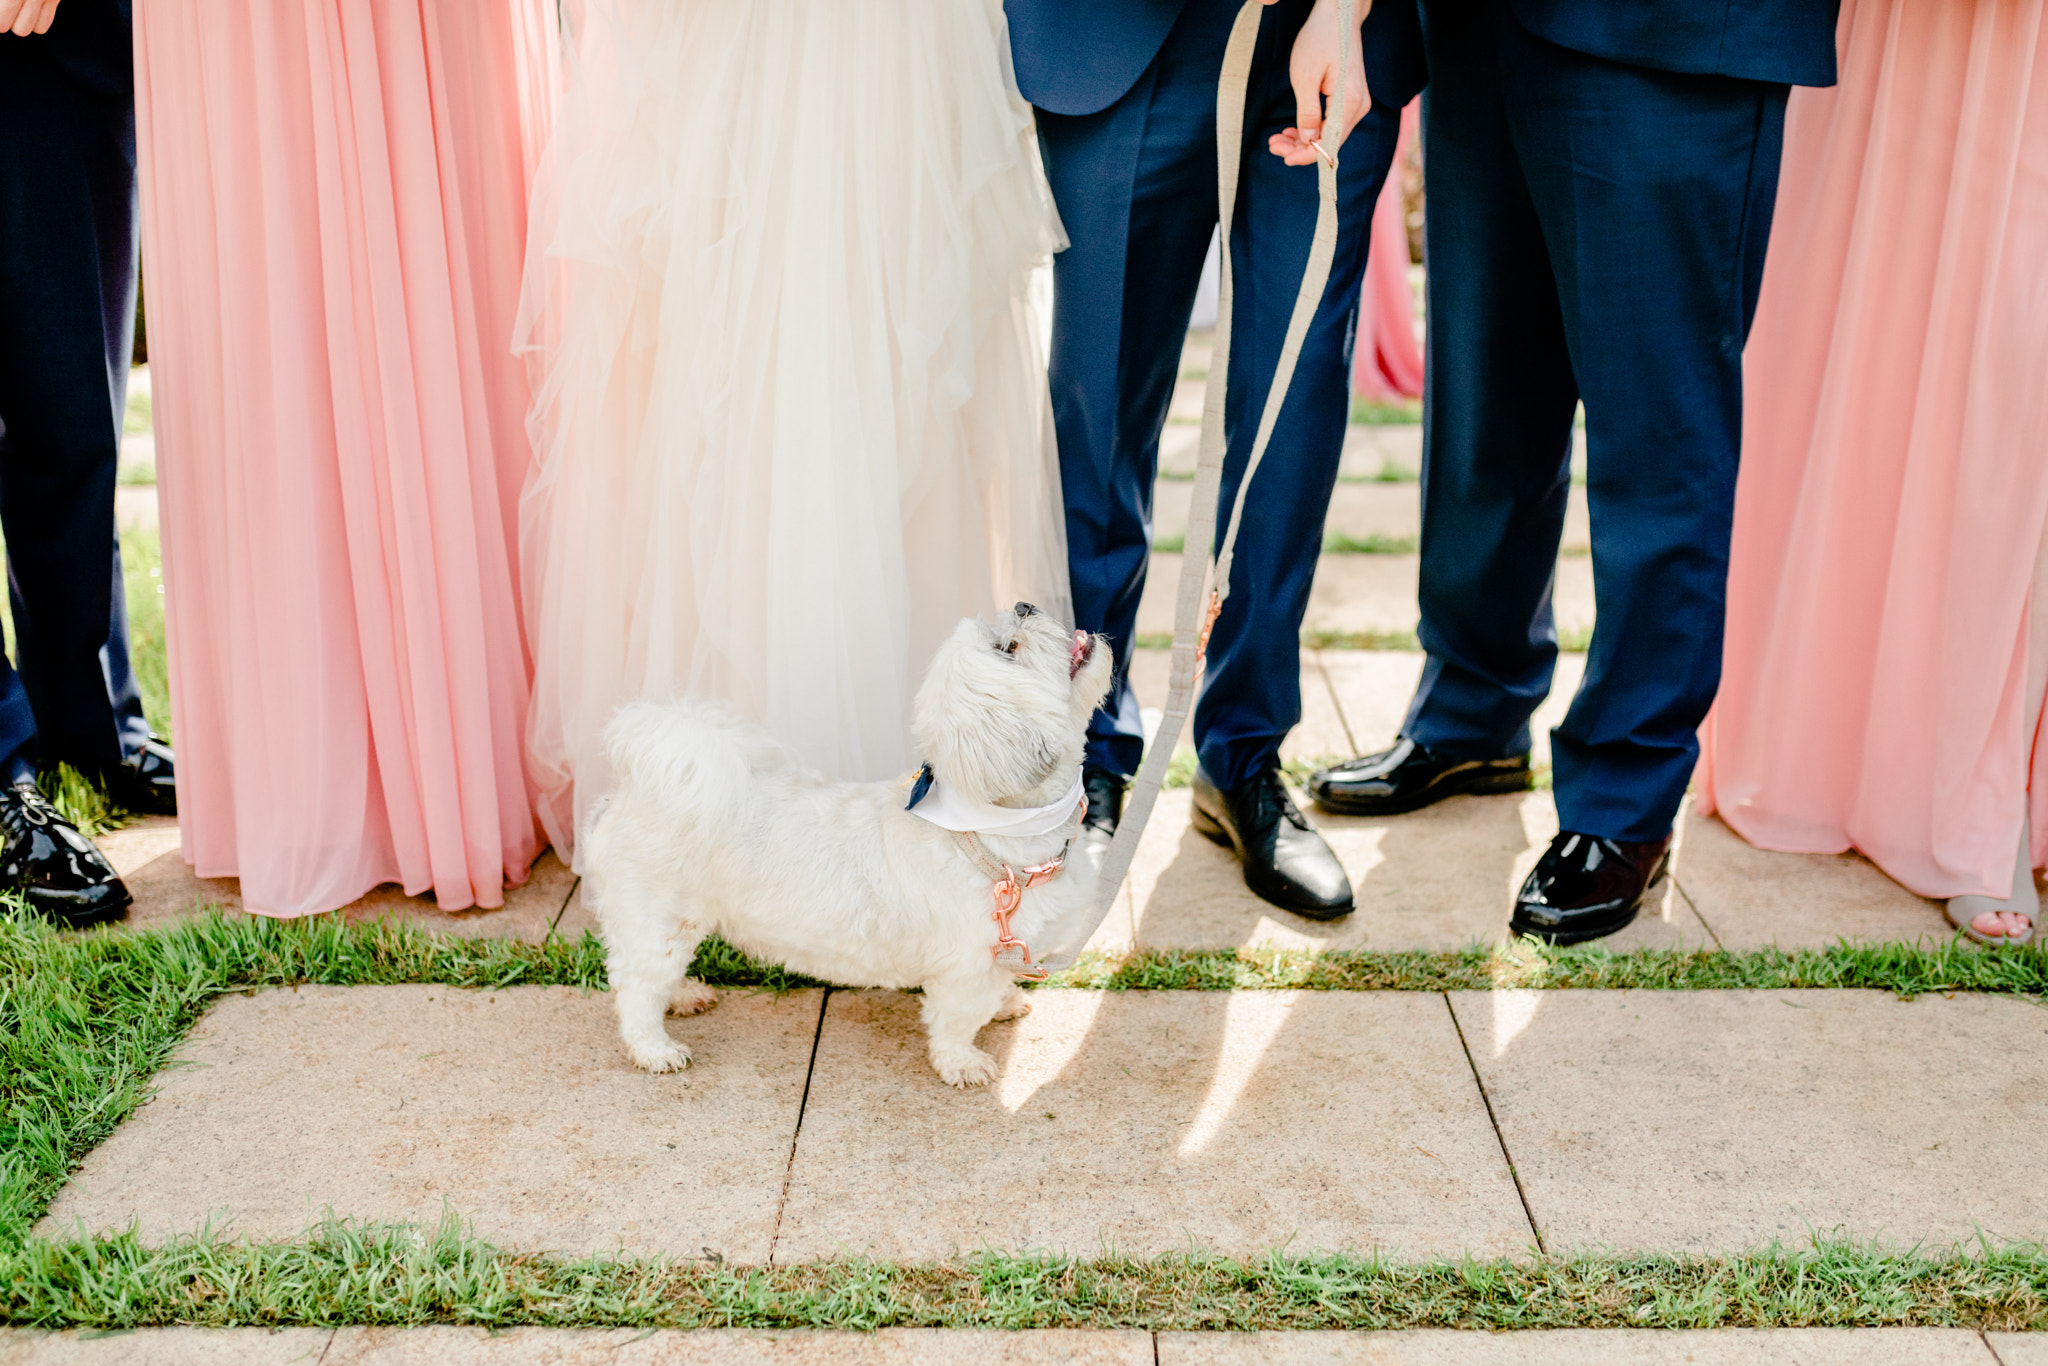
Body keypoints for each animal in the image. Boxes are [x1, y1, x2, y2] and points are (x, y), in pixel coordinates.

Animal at [585, 602, 1114, 1081]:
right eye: (1008, 649)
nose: (1025, 605)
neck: (995, 830)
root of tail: (636, 790)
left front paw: (1006, 1003)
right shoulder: (966, 967)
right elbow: (956, 1023)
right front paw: (962, 1063)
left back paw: (684, 995)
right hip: (658, 918)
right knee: (637, 987)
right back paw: (654, 1049)